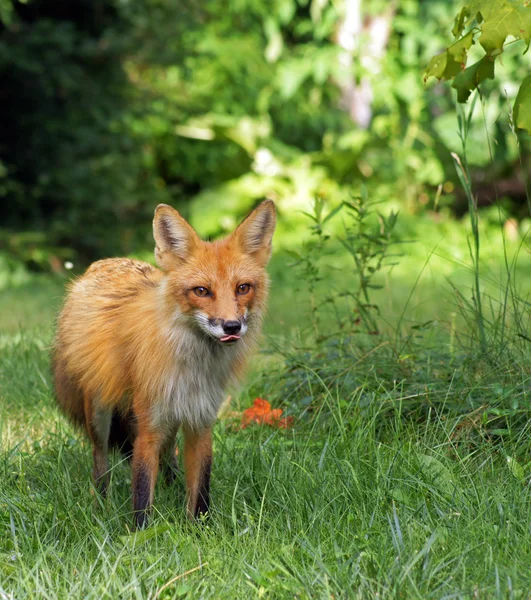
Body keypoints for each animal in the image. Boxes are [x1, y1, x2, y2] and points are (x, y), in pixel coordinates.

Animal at [52, 200, 276, 524]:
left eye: (243, 288)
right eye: (201, 291)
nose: (232, 326)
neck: (192, 367)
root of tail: (105, 262)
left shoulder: (200, 420)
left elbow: (200, 490)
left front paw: (197, 529)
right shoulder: (149, 427)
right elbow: (142, 492)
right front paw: (140, 533)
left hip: (172, 417)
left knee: (169, 457)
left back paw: (171, 486)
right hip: (100, 413)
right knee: (100, 462)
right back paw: (100, 505)